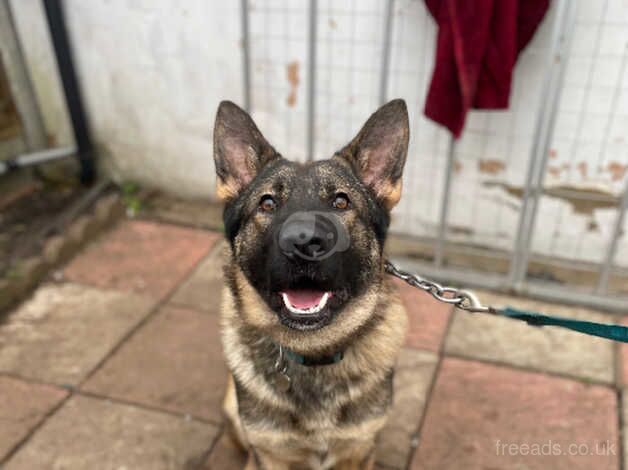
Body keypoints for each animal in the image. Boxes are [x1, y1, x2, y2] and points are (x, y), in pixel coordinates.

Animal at [215, 97, 412, 468]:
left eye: (341, 201)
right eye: (267, 203)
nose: (303, 242)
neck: (314, 354)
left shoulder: (359, 450)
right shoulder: (271, 455)